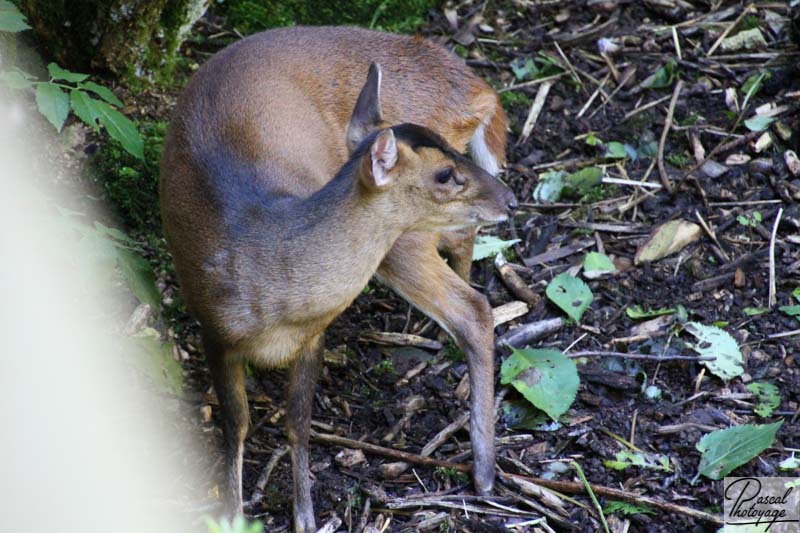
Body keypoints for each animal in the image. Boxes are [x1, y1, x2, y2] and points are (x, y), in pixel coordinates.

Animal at [159, 26, 516, 532]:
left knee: (473, 304)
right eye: (446, 173)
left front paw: (304, 515)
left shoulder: (314, 335)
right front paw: (233, 511)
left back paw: (484, 473)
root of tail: (480, 90)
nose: (510, 199)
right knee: (467, 267)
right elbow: (238, 422)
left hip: (403, 242)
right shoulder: (214, 328)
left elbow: (297, 421)